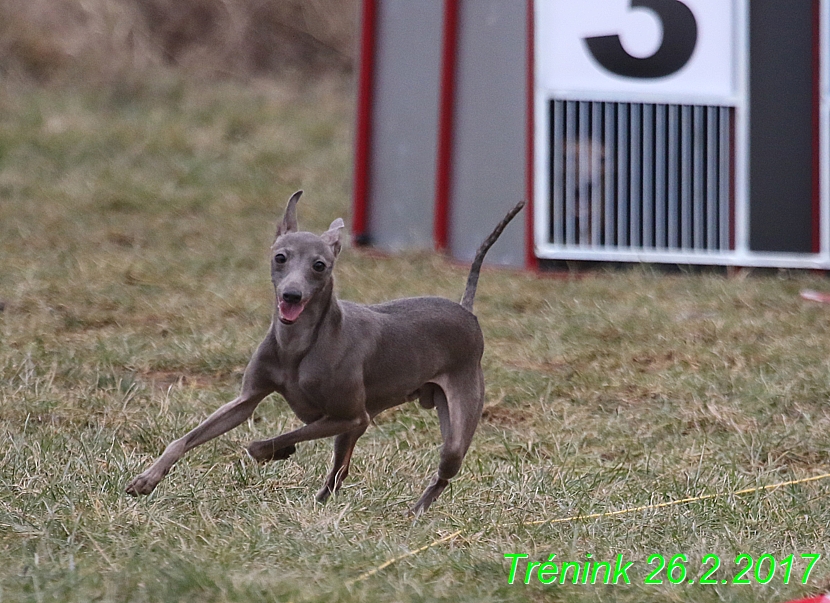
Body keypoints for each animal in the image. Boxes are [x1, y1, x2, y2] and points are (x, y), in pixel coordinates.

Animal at [127, 192, 524, 516]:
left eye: (319, 265)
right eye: (280, 257)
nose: (291, 295)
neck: (297, 346)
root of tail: (466, 311)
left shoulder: (350, 416)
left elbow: (278, 437)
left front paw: (270, 450)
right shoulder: (247, 401)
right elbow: (186, 438)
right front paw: (147, 479)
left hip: (452, 428)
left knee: (442, 471)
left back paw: (415, 513)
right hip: (356, 430)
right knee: (340, 471)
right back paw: (321, 502)